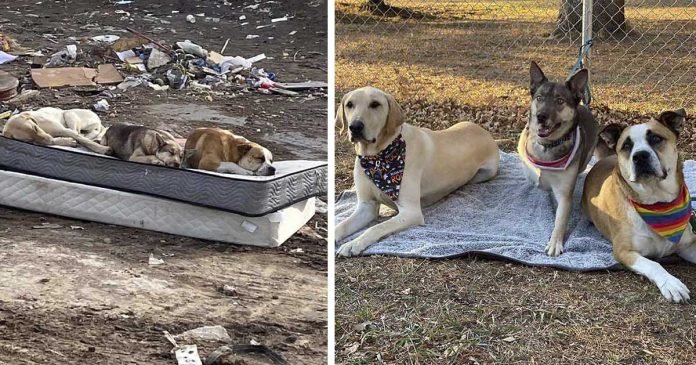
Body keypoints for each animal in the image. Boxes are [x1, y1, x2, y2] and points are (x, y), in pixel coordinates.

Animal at [334, 85, 498, 256]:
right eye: (350, 104)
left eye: (375, 104)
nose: (355, 127)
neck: (377, 157)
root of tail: (486, 133)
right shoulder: (366, 207)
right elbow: (341, 225)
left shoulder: (411, 213)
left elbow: (376, 228)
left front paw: (354, 243)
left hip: (485, 173)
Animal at [516, 61, 600, 256]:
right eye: (539, 98)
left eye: (560, 101)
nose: (541, 116)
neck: (547, 145)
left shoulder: (564, 194)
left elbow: (560, 220)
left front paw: (555, 242)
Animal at [584, 108, 692, 302]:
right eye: (626, 146)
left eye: (656, 138)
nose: (640, 155)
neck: (657, 204)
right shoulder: (624, 251)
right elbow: (654, 264)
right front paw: (672, 284)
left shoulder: (688, 244)